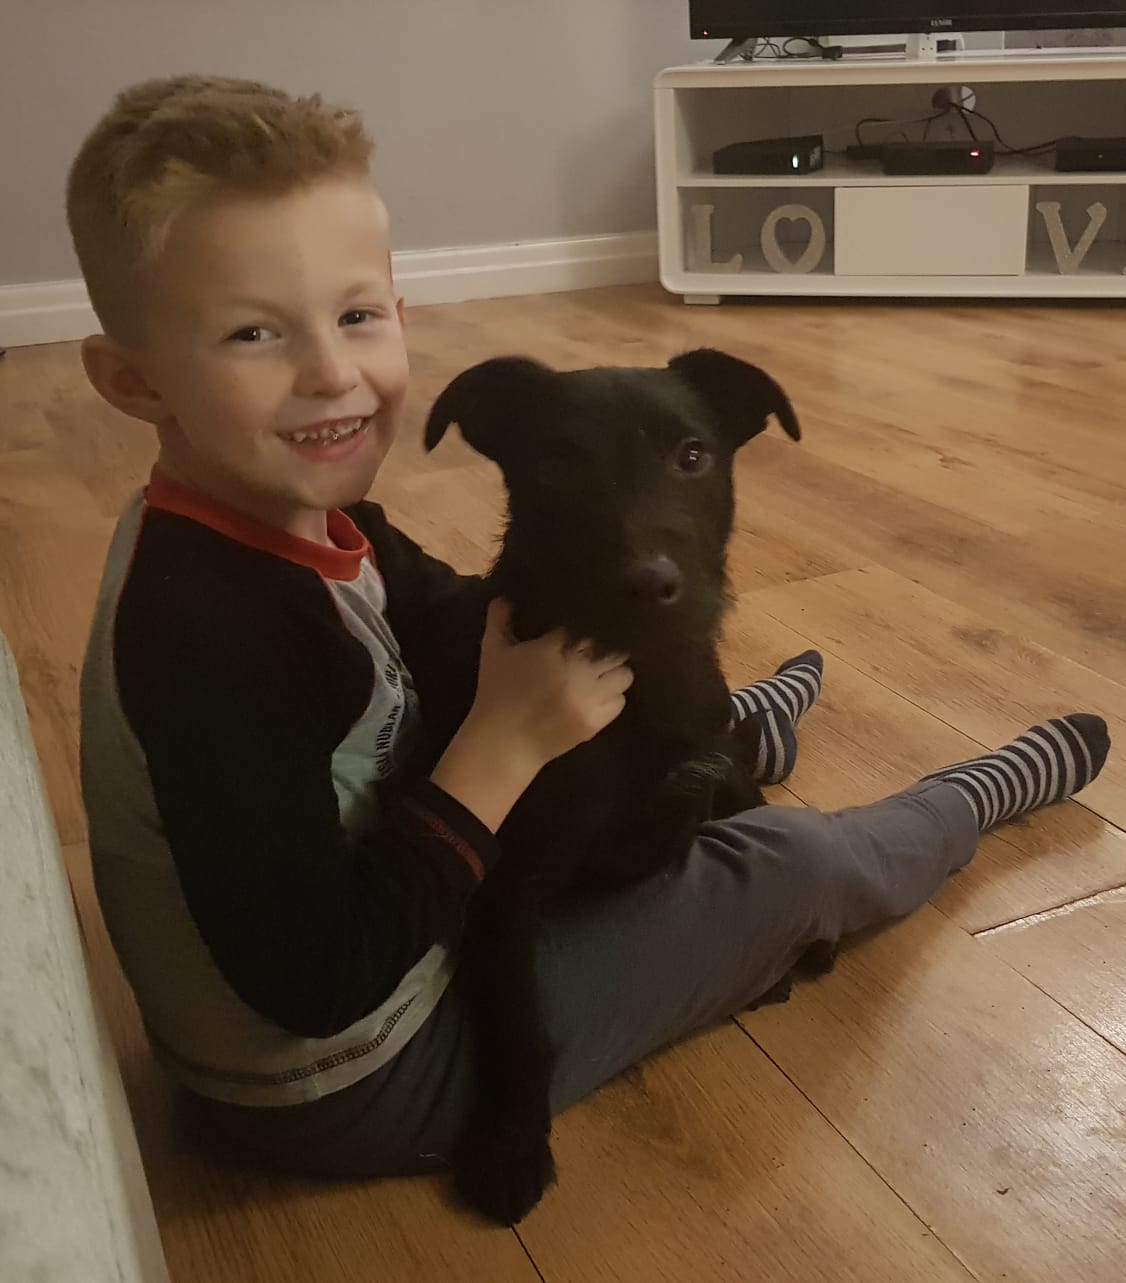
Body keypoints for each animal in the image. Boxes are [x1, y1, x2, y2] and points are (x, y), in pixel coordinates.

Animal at [403, 347, 801, 1225]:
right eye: (555, 464)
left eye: (693, 455)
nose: (648, 583)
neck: (635, 679)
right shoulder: (505, 883)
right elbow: (519, 1017)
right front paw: (510, 1145)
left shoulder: (701, 767)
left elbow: (727, 807)